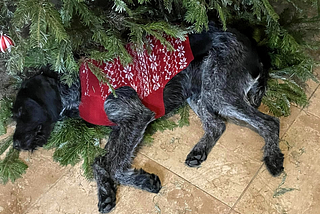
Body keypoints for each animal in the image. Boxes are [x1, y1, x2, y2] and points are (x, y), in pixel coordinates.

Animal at [11, 23, 282, 212]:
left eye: (21, 112)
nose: (13, 143)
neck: (79, 87)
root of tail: (252, 43)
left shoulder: (136, 117)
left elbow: (114, 166)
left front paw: (144, 181)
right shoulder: (120, 126)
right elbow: (99, 162)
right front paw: (105, 193)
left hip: (219, 92)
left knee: (269, 122)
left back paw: (272, 158)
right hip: (197, 89)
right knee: (217, 124)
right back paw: (199, 151)